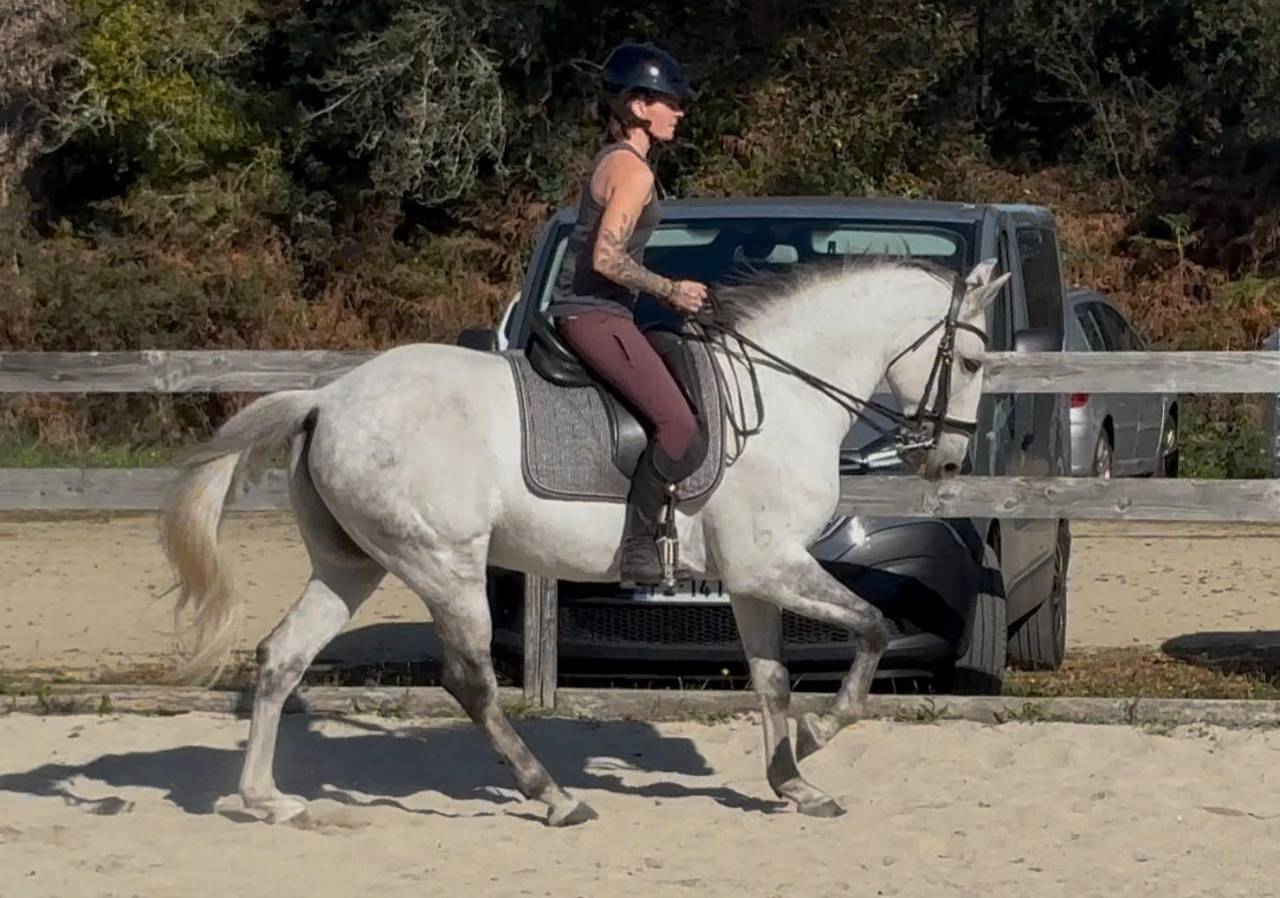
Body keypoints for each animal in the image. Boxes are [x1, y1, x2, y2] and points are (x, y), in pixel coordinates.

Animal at [160, 256, 1008, 826]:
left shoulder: (750, 578)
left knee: (282, 657)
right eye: (970, 360)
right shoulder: (773, 563)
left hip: (354, 566)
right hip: (444, 564)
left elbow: (771, 679)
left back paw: (266, 799)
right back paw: (554, 796)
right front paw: (821, 731)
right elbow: (873, 628)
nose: (948, 461)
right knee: (470, 682)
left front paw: (795, 782)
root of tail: (328, 398)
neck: (786, 394)